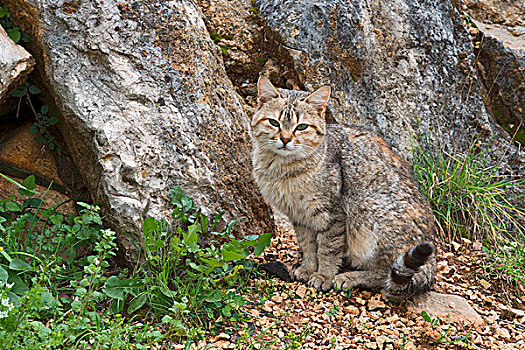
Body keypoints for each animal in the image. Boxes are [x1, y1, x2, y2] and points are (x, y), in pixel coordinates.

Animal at [249, 76, 434, 298]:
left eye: (301, 127)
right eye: (274, 122)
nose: (285, 139)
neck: (282, 168)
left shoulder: (332, 213)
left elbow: (328, 248)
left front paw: (324, 275)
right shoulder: (299, 216)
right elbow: (307, 245)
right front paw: (308, 268)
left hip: (370, 217)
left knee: (385, 273)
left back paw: (349, 277)